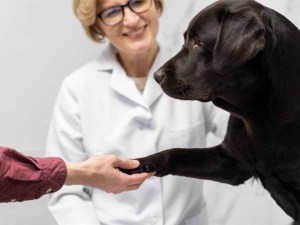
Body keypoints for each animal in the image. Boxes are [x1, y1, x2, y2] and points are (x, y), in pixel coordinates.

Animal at [122, 0, 300, 223]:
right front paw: (137, 164)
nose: (156, 76)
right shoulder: (231, 162)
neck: (259, 116)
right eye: (186, 39)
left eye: (198, 42)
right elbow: (174, 153)